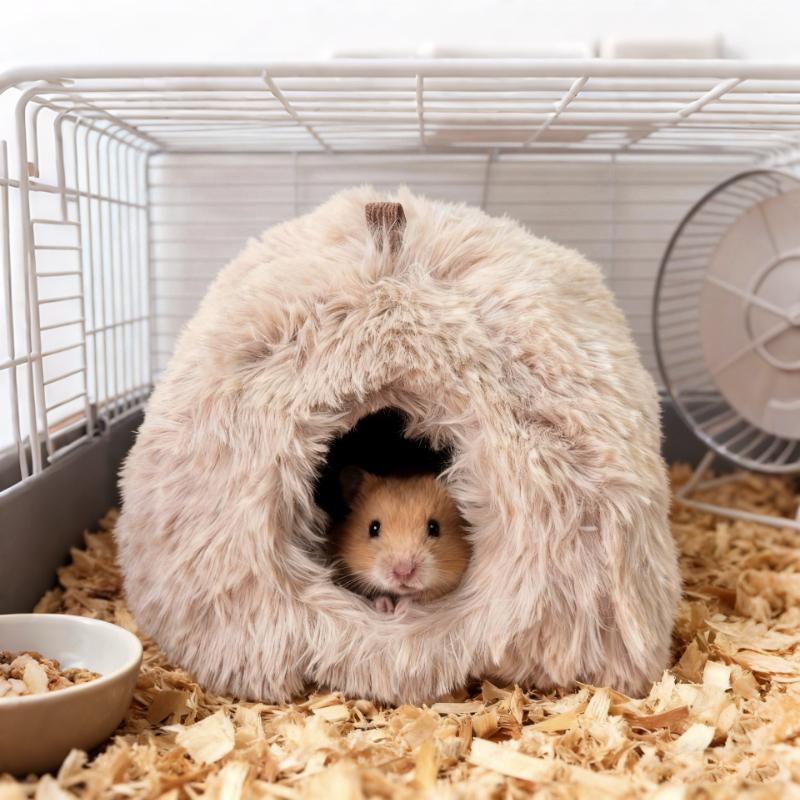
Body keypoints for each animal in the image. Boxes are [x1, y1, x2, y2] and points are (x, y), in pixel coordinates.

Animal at [333, 467, 470, 614]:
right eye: (373, 528)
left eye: (434, 527)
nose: (403, 572)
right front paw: (385, 608)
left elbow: (420, 596)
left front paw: (400, 609)